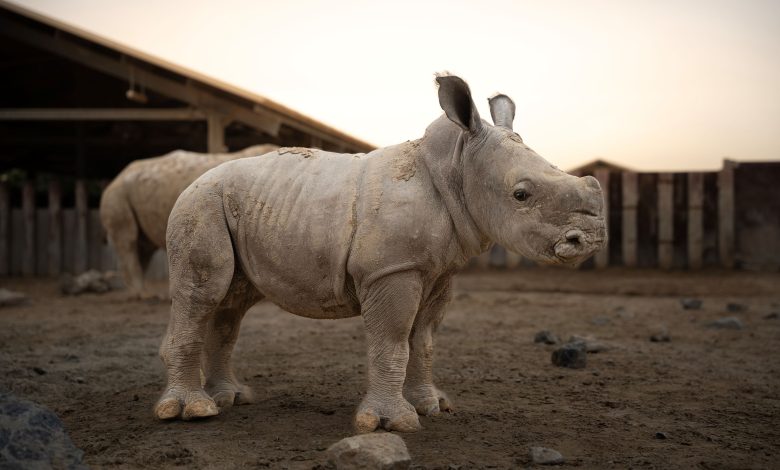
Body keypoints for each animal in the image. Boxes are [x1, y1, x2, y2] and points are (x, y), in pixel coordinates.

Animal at [99, 144, 278, 298]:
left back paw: (142, 294)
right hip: (117, 194)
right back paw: (144, 296)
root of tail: (116, 177)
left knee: (143, 246)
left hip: (131, 191)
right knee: (128, 240)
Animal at [154, 75, 606, 433]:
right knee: (203, 294)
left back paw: (234, 398)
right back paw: (192, 412)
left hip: (233, 207)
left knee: (231, 305)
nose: (588, 240)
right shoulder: (392, 269)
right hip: (199, 205)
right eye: (521, 195)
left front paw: (432, 406)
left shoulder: (438, 271)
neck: (456, 167)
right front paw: (393, 422)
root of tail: (195, 179)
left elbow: (423, 340)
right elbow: (392, 340)